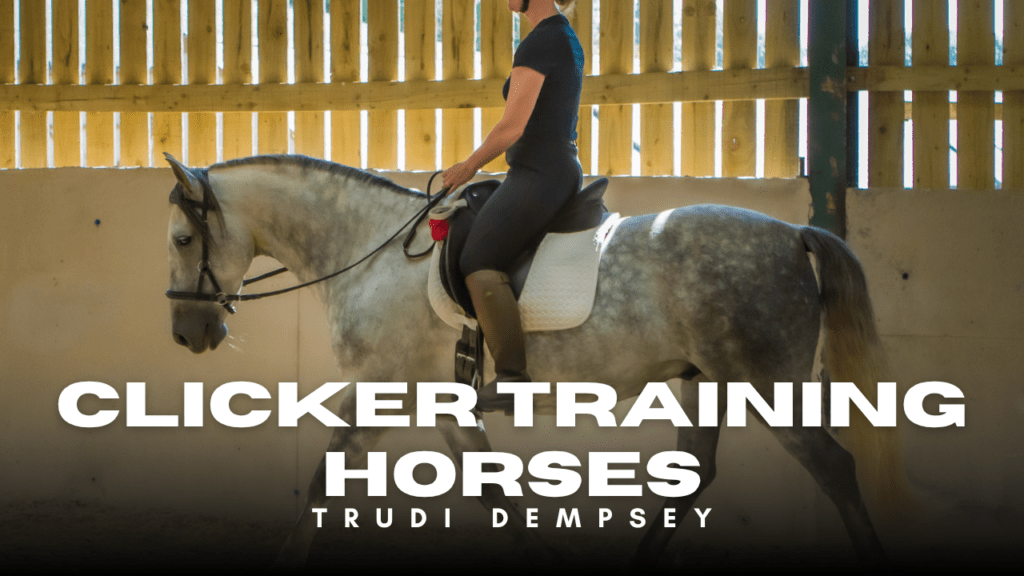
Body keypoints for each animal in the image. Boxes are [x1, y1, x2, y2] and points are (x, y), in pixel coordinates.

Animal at [162, 153, 911, 569]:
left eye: (180, 239)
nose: (188, 334)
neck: (368, 252)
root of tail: (792, 232)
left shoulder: (381, 387)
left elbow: (324, 482)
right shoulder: (440, 401)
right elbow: (492, 489)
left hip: (765, 383)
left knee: (832, 467)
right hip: (701, 382)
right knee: (693, 478)